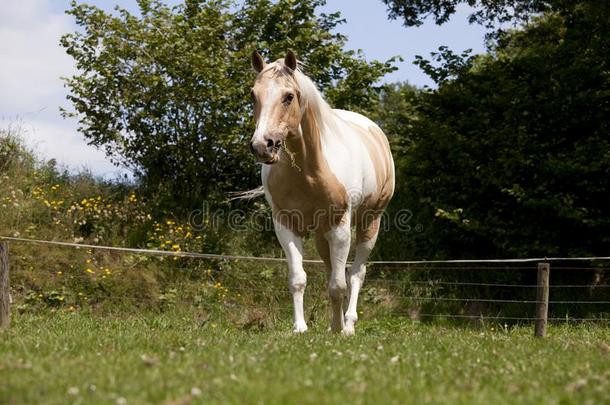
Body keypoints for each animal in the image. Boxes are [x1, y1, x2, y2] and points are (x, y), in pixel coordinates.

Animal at [247, 49, 394, 334]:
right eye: (253, 95)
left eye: (288, 96)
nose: (262, 145)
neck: (308, 171)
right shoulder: (286, 225)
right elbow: (299, 279)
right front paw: (300, 328)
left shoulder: (340, 227)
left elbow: (339, 284)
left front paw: (340, 328)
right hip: (321, 233)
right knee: (331, 270)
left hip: (369, 222)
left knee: (356, 274)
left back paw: (348, 325)